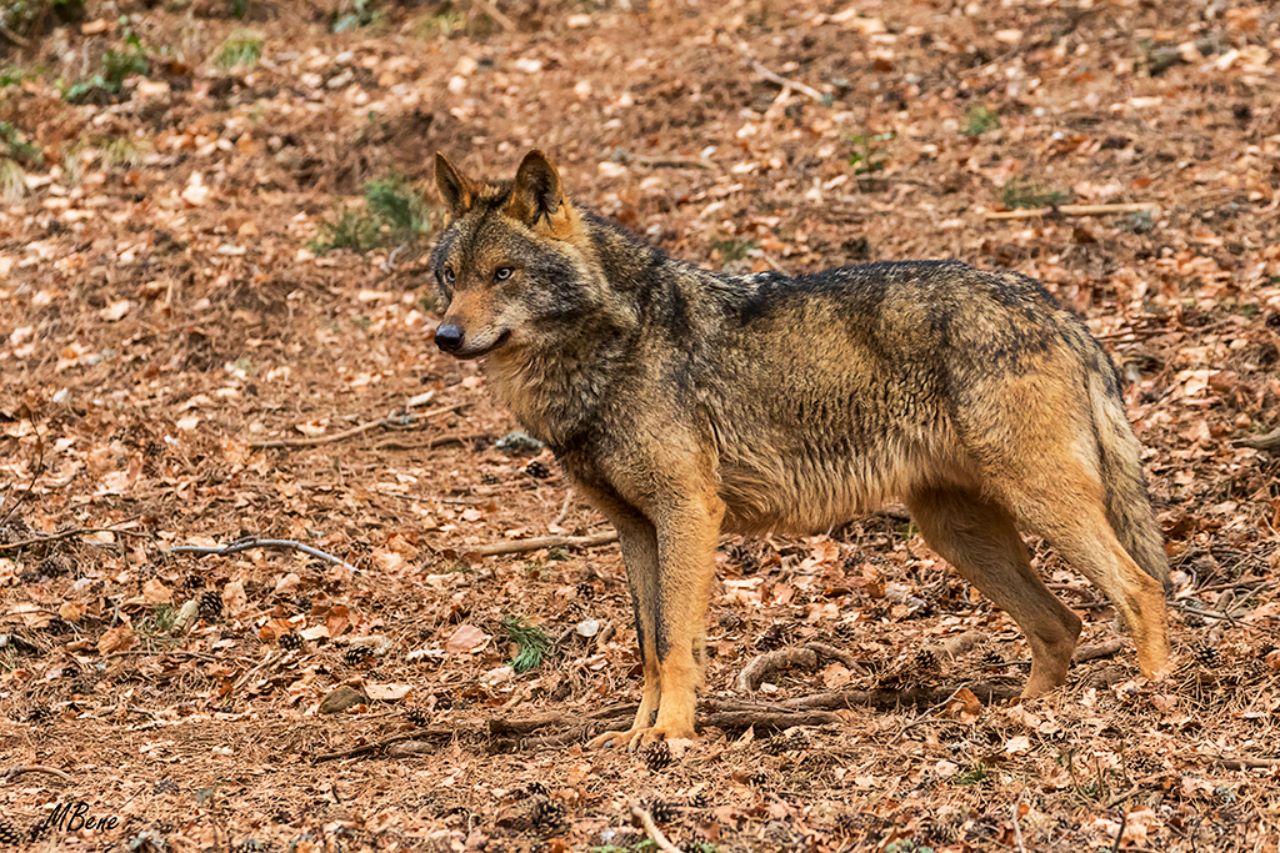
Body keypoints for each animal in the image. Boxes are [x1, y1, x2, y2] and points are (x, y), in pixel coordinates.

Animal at [428, 149, 1171, 748]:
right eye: (451, 276)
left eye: (504, 273)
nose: (445, 336)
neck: (610, 346)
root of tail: (1056, 308)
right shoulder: (635, 530)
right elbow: (648, 646)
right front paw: (637, 733)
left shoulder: (688, 513)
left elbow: (673, 642)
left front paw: (672, 736)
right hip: (958, 533)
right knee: (1062, 623)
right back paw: (1020, 714)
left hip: (1037, 504)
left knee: (1141, 587)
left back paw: (1153, 697)